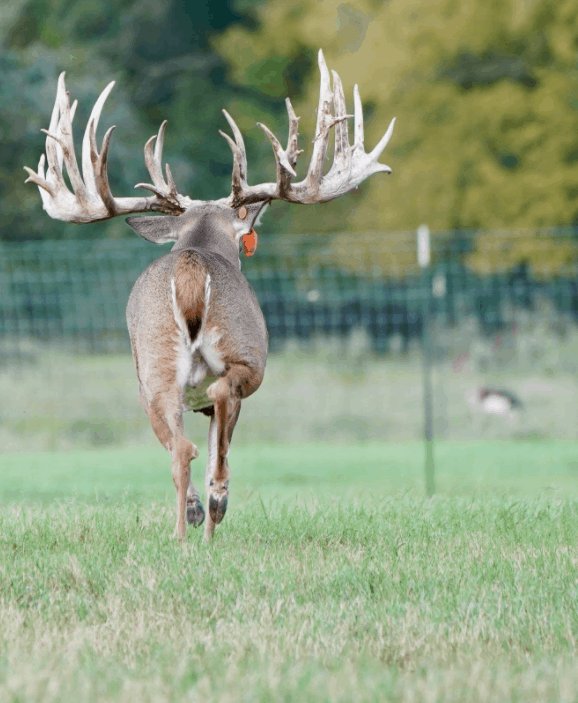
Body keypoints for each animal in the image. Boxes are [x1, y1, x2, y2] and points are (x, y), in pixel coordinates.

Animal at [24, 50, 396, 541]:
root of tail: (190, 266)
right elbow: (222, 428)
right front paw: (215, 506)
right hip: (244, 353)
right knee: (220, 400)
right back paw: (215, 506)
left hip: (153, 367)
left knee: (180, 447)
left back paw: (186, 528)